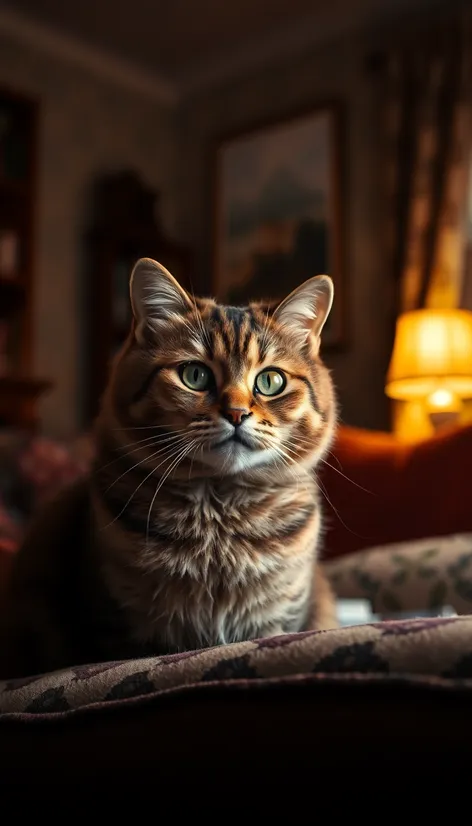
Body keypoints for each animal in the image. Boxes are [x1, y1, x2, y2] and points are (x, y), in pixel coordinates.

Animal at [0, 256, 340, 676]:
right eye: (195, 375)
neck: (220, 516)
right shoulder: (117, 625)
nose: (237, 413)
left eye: (271, 381)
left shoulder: (279, 619)